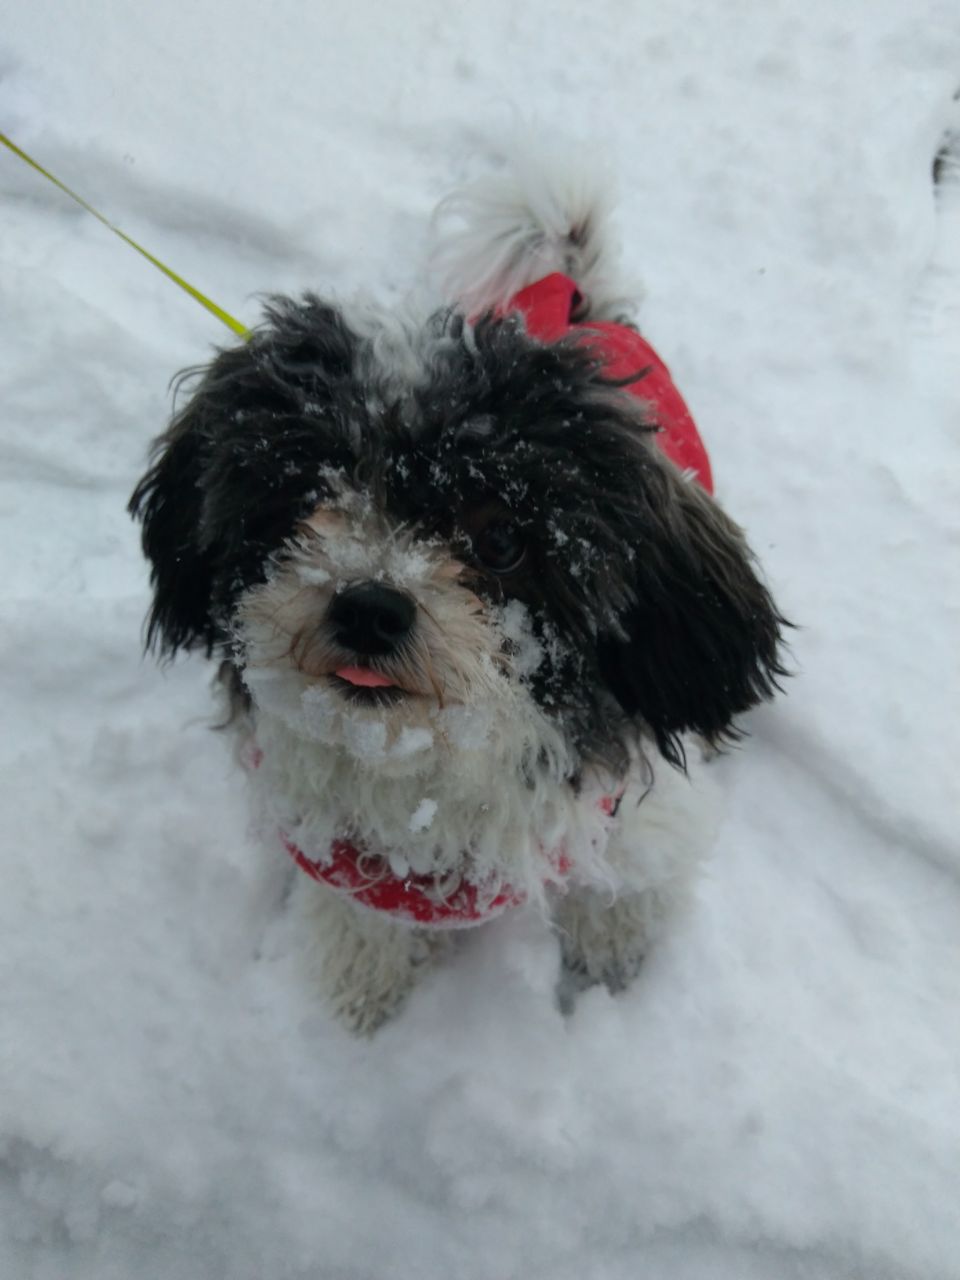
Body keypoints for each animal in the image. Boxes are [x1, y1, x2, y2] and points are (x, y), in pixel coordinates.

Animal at [129, 154, 788, 1029]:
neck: (427, 765)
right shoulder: (339, 853)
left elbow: (627, 884)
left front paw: (611, 958)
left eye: (501, 536)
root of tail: (571, 296)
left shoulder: (630, 812)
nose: (369, 607)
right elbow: (362, 920)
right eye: (304, 498)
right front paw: (362, 991)